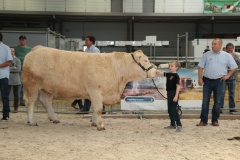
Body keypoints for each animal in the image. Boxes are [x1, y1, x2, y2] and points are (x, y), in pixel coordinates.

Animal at [21, 45, 157, 130]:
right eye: (146, 60)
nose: (155, 71)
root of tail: (38, 48)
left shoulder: (97, 94)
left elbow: (95, 108)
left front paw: (94, 122)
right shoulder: (95, 91)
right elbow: (98, 109)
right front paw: (100, 125)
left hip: (47, 88)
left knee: (46, 101)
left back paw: (54, 118)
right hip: (32, 84)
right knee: (30, 102)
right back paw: (31, 121)